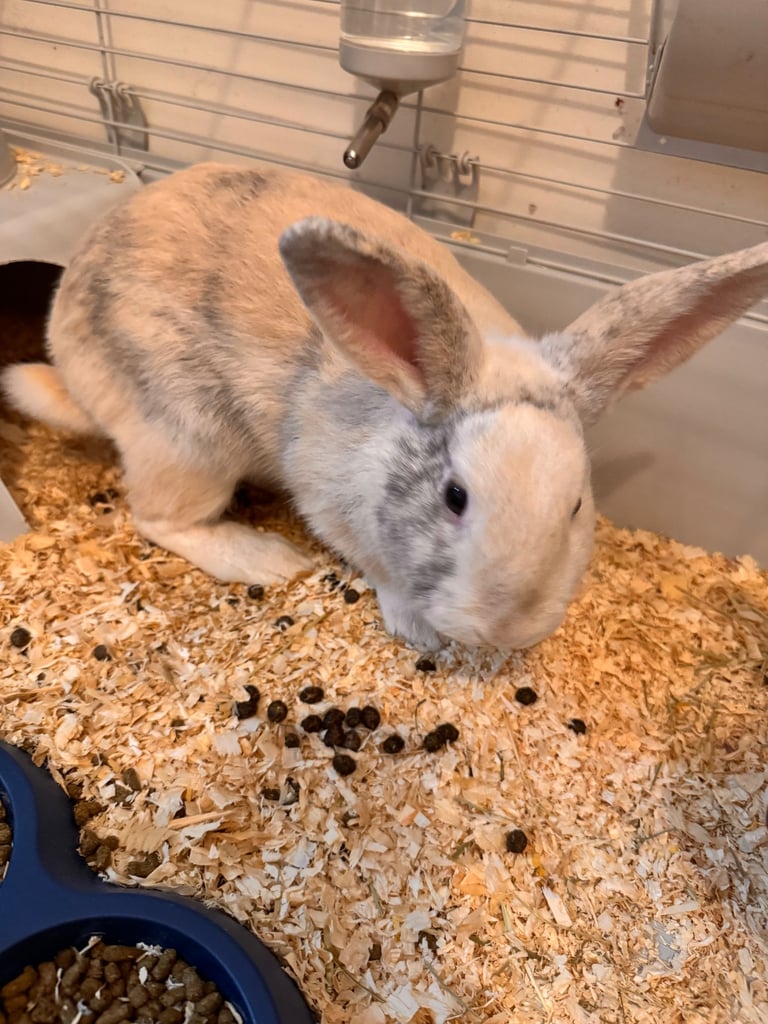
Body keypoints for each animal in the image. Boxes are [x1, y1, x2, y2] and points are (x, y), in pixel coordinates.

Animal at [3, 161, 768, 651]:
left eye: (577, 503)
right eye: (455, 497)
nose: (505, 630)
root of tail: (68, 356)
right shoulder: (326, 495)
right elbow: (370, 564)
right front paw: (412, 623)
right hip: (188, 440)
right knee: (160, 518)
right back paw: (266, 559)